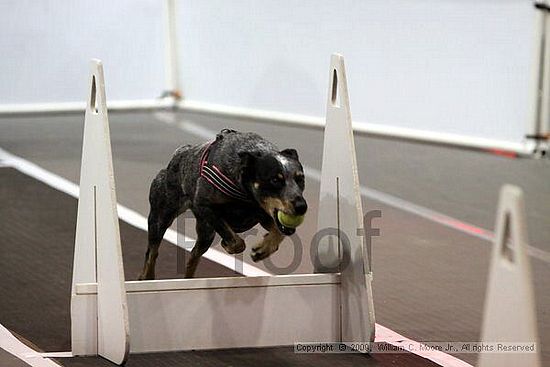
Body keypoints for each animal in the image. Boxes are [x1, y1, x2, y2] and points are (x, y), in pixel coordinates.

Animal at [138, 128, 308, 280]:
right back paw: (146, 277)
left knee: (193, 256)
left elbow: (279, 232)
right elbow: (237, 242)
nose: (301, 206)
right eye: (275, 180)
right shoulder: (204, 205)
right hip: (160, 217)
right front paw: (229, 245)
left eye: (300, 178)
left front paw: (262, 250)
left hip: (206, 234)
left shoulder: (263, 216)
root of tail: (179, 153)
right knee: (152, 252)